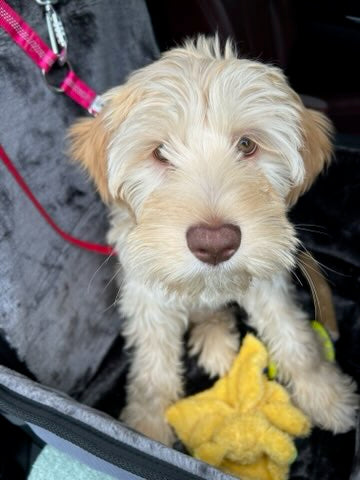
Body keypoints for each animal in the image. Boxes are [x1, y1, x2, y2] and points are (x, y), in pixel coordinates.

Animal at [69, 35, 358, 444]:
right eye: (160, 152)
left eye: (247, 145)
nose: (215, 242)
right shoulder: (146, 295)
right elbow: (153, 366)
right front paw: (148, 428)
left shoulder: (267, 280)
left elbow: (293, 335)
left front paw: (325, 393)